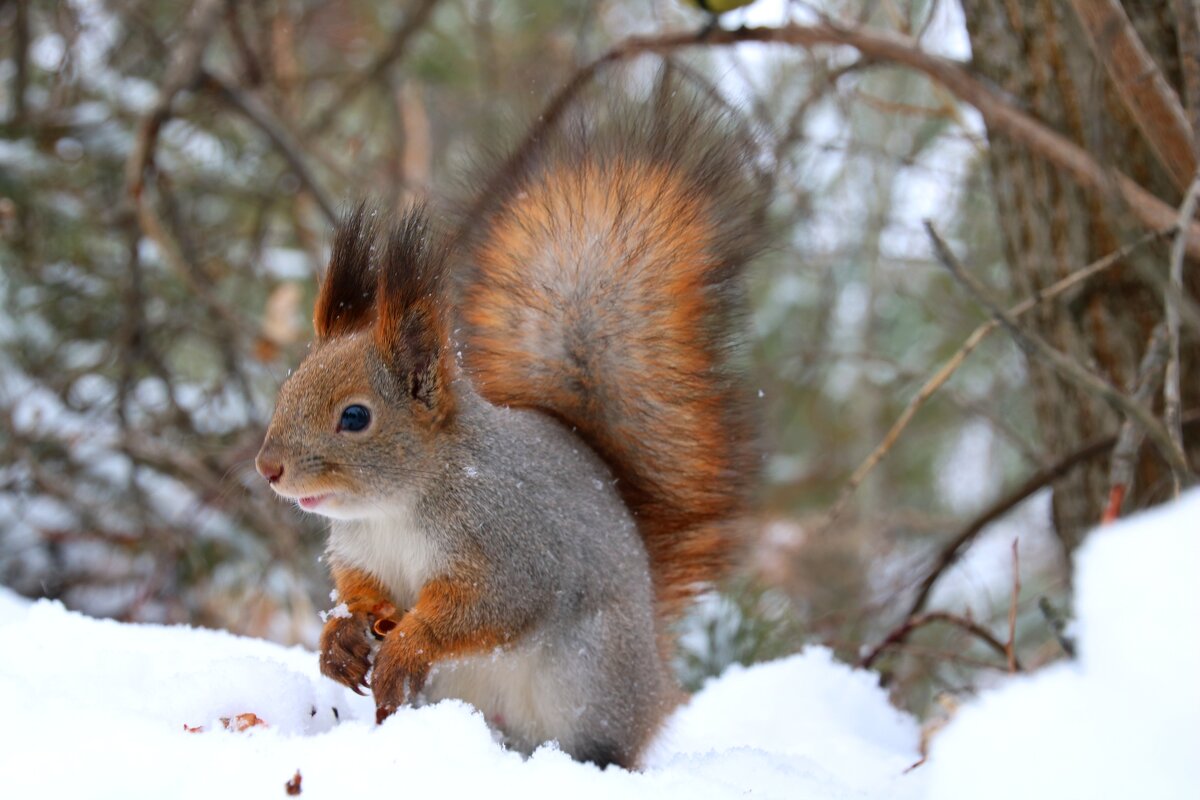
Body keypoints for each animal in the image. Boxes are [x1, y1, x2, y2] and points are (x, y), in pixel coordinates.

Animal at [255, 87, 768, 767]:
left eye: (355, 417)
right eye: (287, 390)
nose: (268, 468)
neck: (397, 506)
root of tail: (654, 680)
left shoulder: (511, 544)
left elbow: (489, 607)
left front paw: (408, 644)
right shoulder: (361, 552)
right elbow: (357, 590)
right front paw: (339, 639)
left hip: (590, 679)